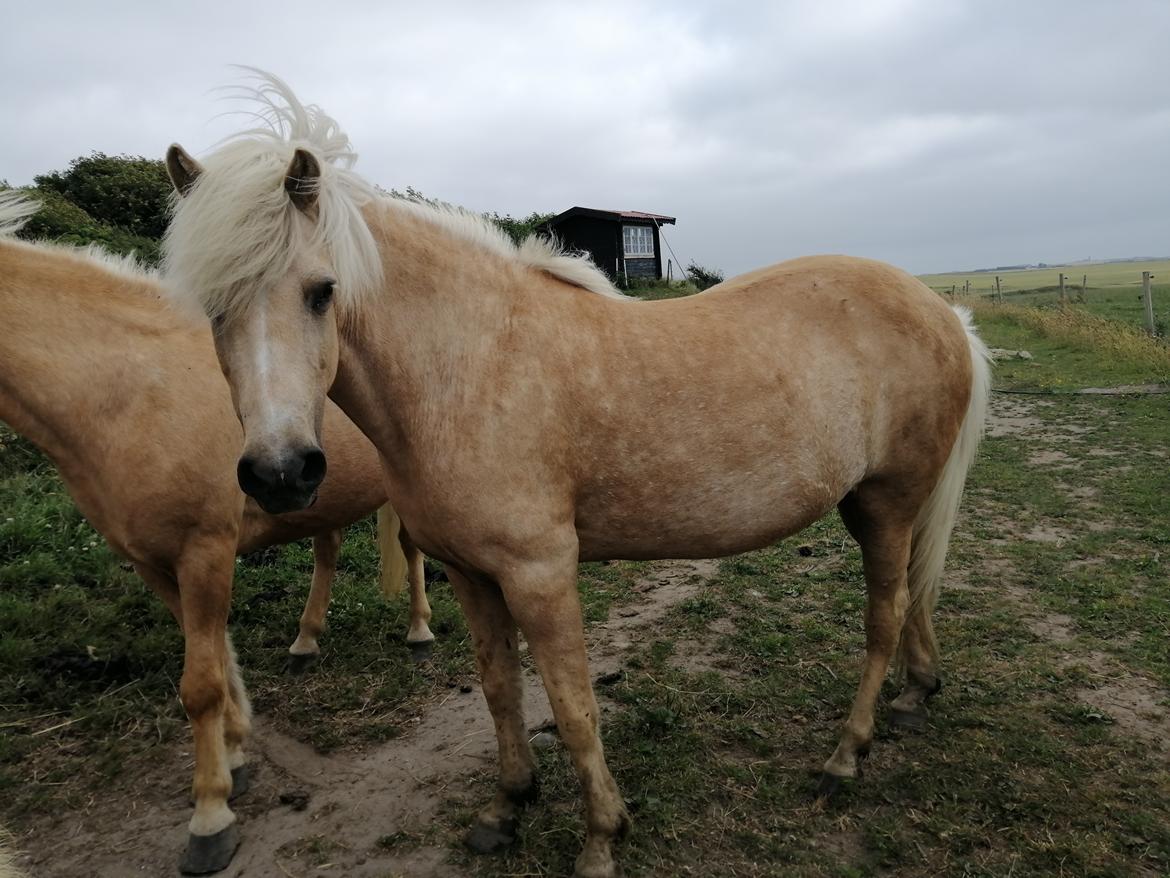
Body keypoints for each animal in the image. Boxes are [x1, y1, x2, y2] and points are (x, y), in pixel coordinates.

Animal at [0, 195, 437, 875]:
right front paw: (235, 755)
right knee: (328, 549)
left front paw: (210, 816)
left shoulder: (203, 549)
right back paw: (305, 642)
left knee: (412, 554)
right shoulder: (156, 564)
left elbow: (201, 685)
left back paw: (419, 632)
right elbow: (219, 661)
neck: (128, 391)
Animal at [162, 75, 987, 878]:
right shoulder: (470, 573)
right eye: (213, 306)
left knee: (885, 614)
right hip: (872, 504)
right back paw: (916, 694)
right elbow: (500, 688)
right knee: (913, 597)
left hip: (888, 501)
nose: (281, 471)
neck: (471, 365)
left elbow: (571, 702)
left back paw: (846, 755)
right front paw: (508, 805)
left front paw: (600, 837)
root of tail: (943, 312)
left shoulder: (541, 573)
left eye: (322, 290)